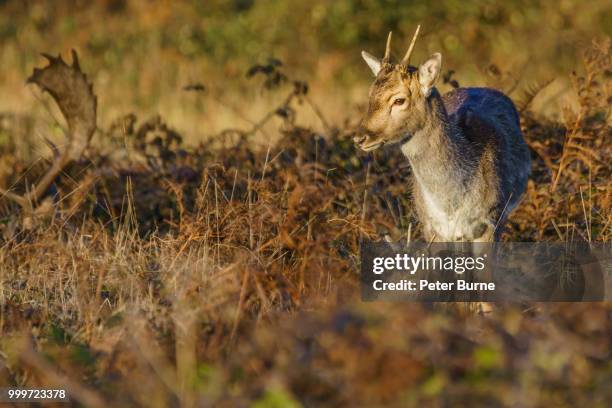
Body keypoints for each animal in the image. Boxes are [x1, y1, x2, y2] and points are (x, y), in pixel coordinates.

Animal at [354, 27, 532, 244]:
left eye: (399, 100)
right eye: (370, 95)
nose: (360, 138)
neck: (450, 204)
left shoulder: (491, 221)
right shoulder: (430, 228)